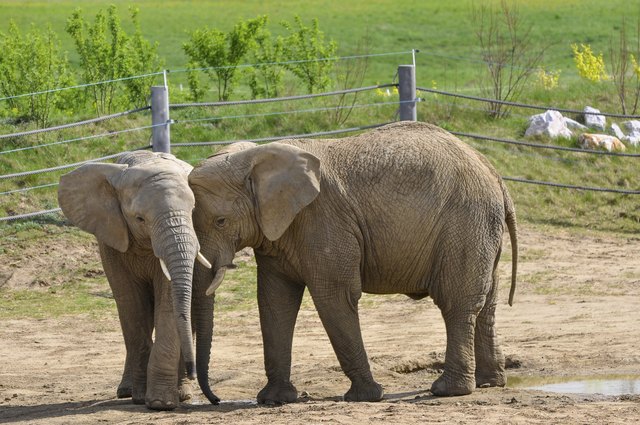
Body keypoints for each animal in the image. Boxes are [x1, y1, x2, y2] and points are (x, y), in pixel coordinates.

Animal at [56, 151, 220, 410]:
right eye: (140, 219)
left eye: (193, 211)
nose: (194, 372)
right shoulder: (111, 240)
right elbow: (133, 307)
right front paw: (144, 398)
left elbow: (167, 303)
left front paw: (160, 403)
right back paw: (126, 391)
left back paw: (182, 393)